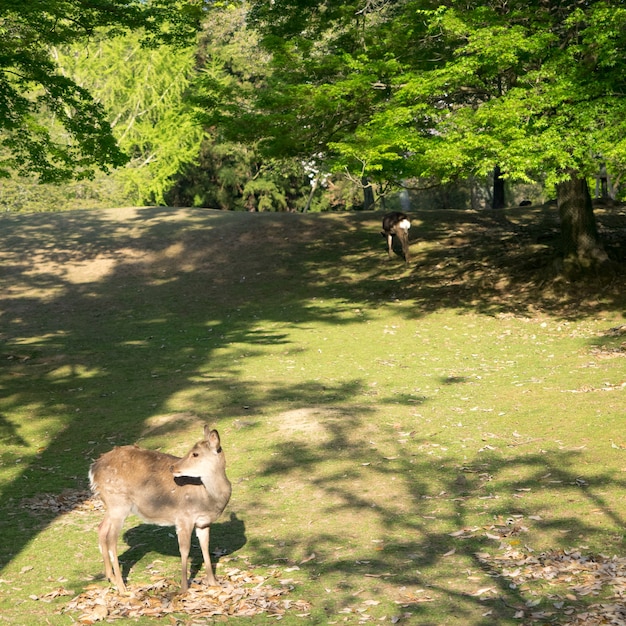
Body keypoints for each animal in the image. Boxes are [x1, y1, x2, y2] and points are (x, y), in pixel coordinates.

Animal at [88, 424, 232, 588]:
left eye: (195, 454)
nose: (173, 467)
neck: (208, 498)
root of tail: (93, 470)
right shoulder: (184, 517)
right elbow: (185, 549)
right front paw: (184, 587)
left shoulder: (203, 522)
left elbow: (205, 546)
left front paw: (213, 582)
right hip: (118, 502)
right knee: (112, 540)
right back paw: (122, 586)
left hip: (112, 504)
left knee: (101, 528)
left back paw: (110, 577)